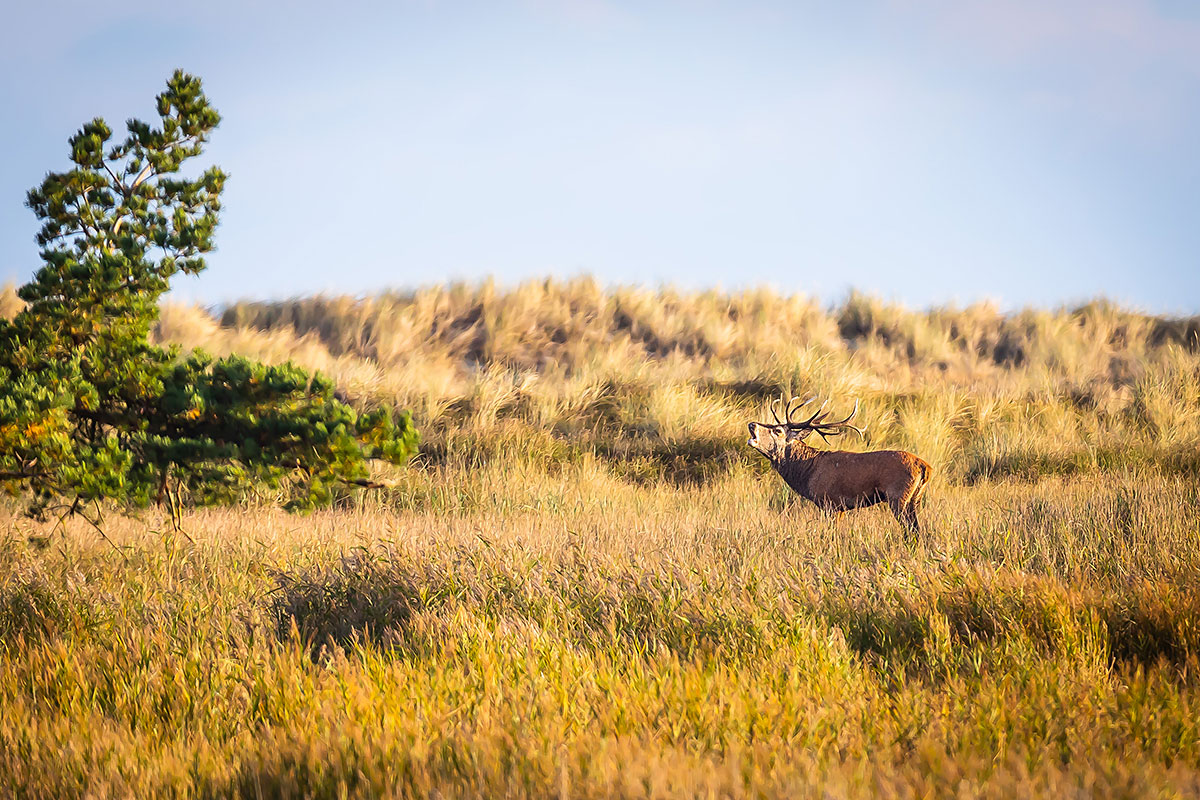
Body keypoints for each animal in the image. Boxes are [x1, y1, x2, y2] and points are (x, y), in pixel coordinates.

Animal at [746, 394, 932, 536]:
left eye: (777, 430)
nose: (751, 424)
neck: (808, 473)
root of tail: (926, 467)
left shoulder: (830, 502)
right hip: (914, 499)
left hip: (898, 496)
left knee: (911, 530)